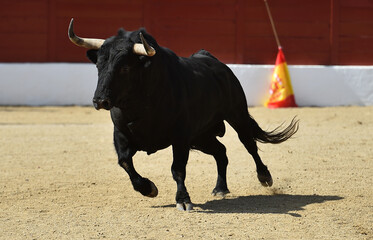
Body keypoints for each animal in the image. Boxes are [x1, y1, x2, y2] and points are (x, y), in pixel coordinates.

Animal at [68, 18, 298, 210]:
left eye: (124, 67)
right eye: (98, 65)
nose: (100, 101)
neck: (141, 101)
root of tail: (213, 60)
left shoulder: (180, 137)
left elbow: (177, 168)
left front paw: (183, 200)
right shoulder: (122, 134)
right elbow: (124, 162)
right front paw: (149, 188)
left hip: (236, 115)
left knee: (249, 144)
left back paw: (264, 176)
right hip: (201, 136)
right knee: (221, 151)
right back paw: (220, 188)